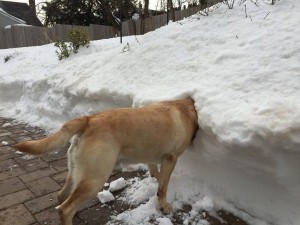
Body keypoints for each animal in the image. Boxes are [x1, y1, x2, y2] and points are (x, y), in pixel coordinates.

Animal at [13, 99, 197, 225]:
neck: (186, 109)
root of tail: (88, 120)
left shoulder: (152, 157)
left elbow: (154, 171)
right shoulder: (170, 158)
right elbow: (162, 188)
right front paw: (164, 206)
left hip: (76, 171)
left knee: (61, 197)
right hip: (95, 179)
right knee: (65, 209)